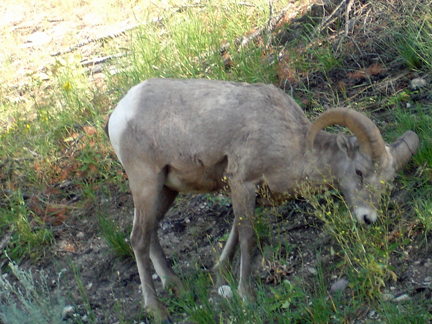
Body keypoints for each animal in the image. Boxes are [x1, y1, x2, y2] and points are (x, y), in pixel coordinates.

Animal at [105, 78, 418, 322]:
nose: (368, 218)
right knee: (138, 239)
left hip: (166, 189)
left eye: (387, 182)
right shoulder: (243, 183)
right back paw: (156, 310)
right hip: (146, 183)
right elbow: (247, 238)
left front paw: (221, 278)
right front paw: (246, 295)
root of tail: (120, 113)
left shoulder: (248, 191)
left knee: (151, 232)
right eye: (359, 172)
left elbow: (234, 233)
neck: (289, 142)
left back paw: (176, 286)